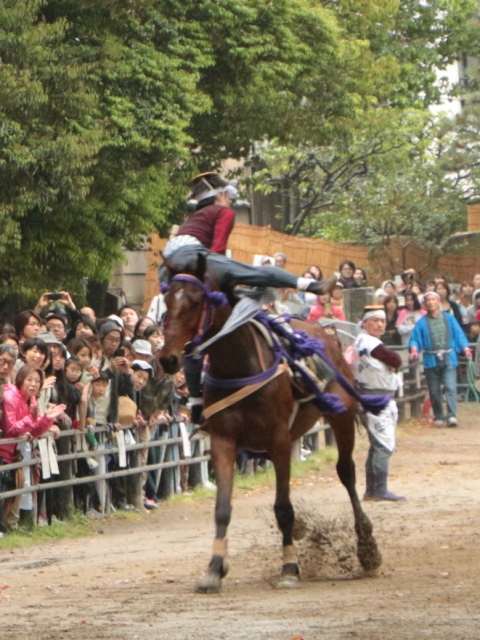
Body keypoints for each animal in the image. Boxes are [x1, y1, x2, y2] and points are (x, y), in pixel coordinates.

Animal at [161, 252, 382, 592]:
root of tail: (325, 334)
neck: (238, 364)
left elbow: (283, 508)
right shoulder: (223, 441)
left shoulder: (278, 441)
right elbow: (222, 509)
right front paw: (214, 568)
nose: (168, 358)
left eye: (197, 301)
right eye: (167, 299)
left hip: (341, 415)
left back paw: (366, 546)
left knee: (346, 472)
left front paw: (289, 567)